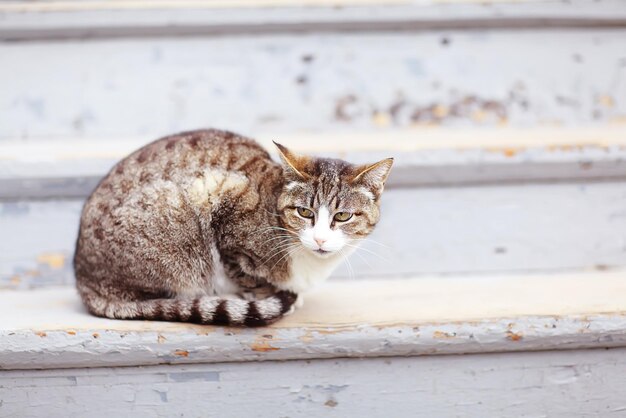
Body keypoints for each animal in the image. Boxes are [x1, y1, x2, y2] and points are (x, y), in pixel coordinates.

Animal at [73, 128, 390, 326]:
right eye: (304, 212)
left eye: (343, 216)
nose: (321, 240)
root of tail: (84, 280)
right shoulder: (225, 204)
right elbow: (247, 276)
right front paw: (269, 295)